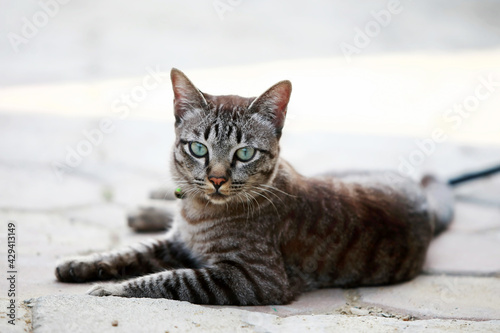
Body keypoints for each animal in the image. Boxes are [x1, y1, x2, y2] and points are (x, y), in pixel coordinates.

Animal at [55, 68, 460, 304]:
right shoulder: (178, 241)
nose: (217, 179)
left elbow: (168, 279)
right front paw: (83, 263)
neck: (198, 211)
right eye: (198, 148)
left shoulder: (252, 278)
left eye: (245, 153)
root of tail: (423, 198)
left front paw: (115, 288)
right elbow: (126, 254)